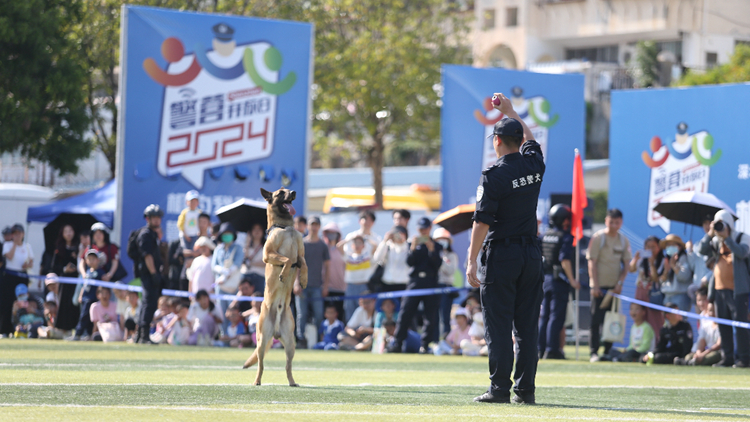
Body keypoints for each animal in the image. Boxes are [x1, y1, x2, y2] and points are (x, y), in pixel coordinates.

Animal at [244, 188, 308, 386]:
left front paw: (303, 279)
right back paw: (257, 381)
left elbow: (303, 263)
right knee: (260, 365)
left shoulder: (301, 254)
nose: (293, 192)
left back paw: (292, 382)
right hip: (262, 340)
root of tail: (276, 330)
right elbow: (287, 259)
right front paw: (284, 274)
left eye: (288, 191)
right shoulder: (268, 254)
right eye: (280, 193)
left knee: (288, 366)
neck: (286, 228)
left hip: (290, 344)